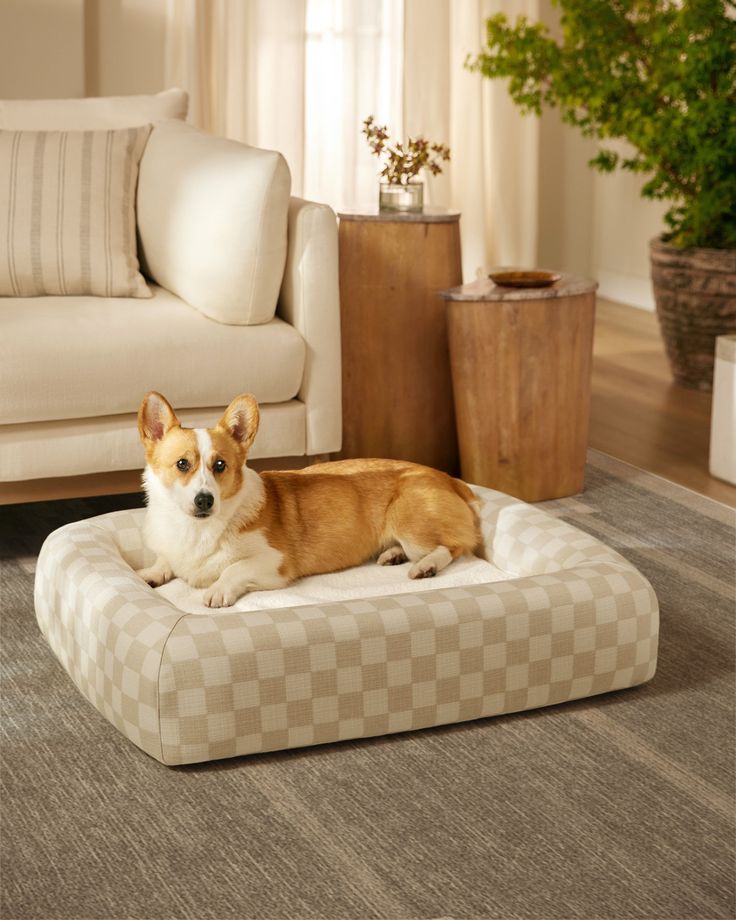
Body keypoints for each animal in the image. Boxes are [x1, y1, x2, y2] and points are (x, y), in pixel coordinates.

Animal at [137, 392, 484, 608]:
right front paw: (149, 574)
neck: (196, 530)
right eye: (183, 464)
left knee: (453, 546)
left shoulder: (274, 562)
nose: (204, 500)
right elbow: (165, 562)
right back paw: (392, 555)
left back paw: (425, 566)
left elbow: (233, 570)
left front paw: (218, 590)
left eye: (220, 465)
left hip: (408, 519)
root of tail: (450, 479)